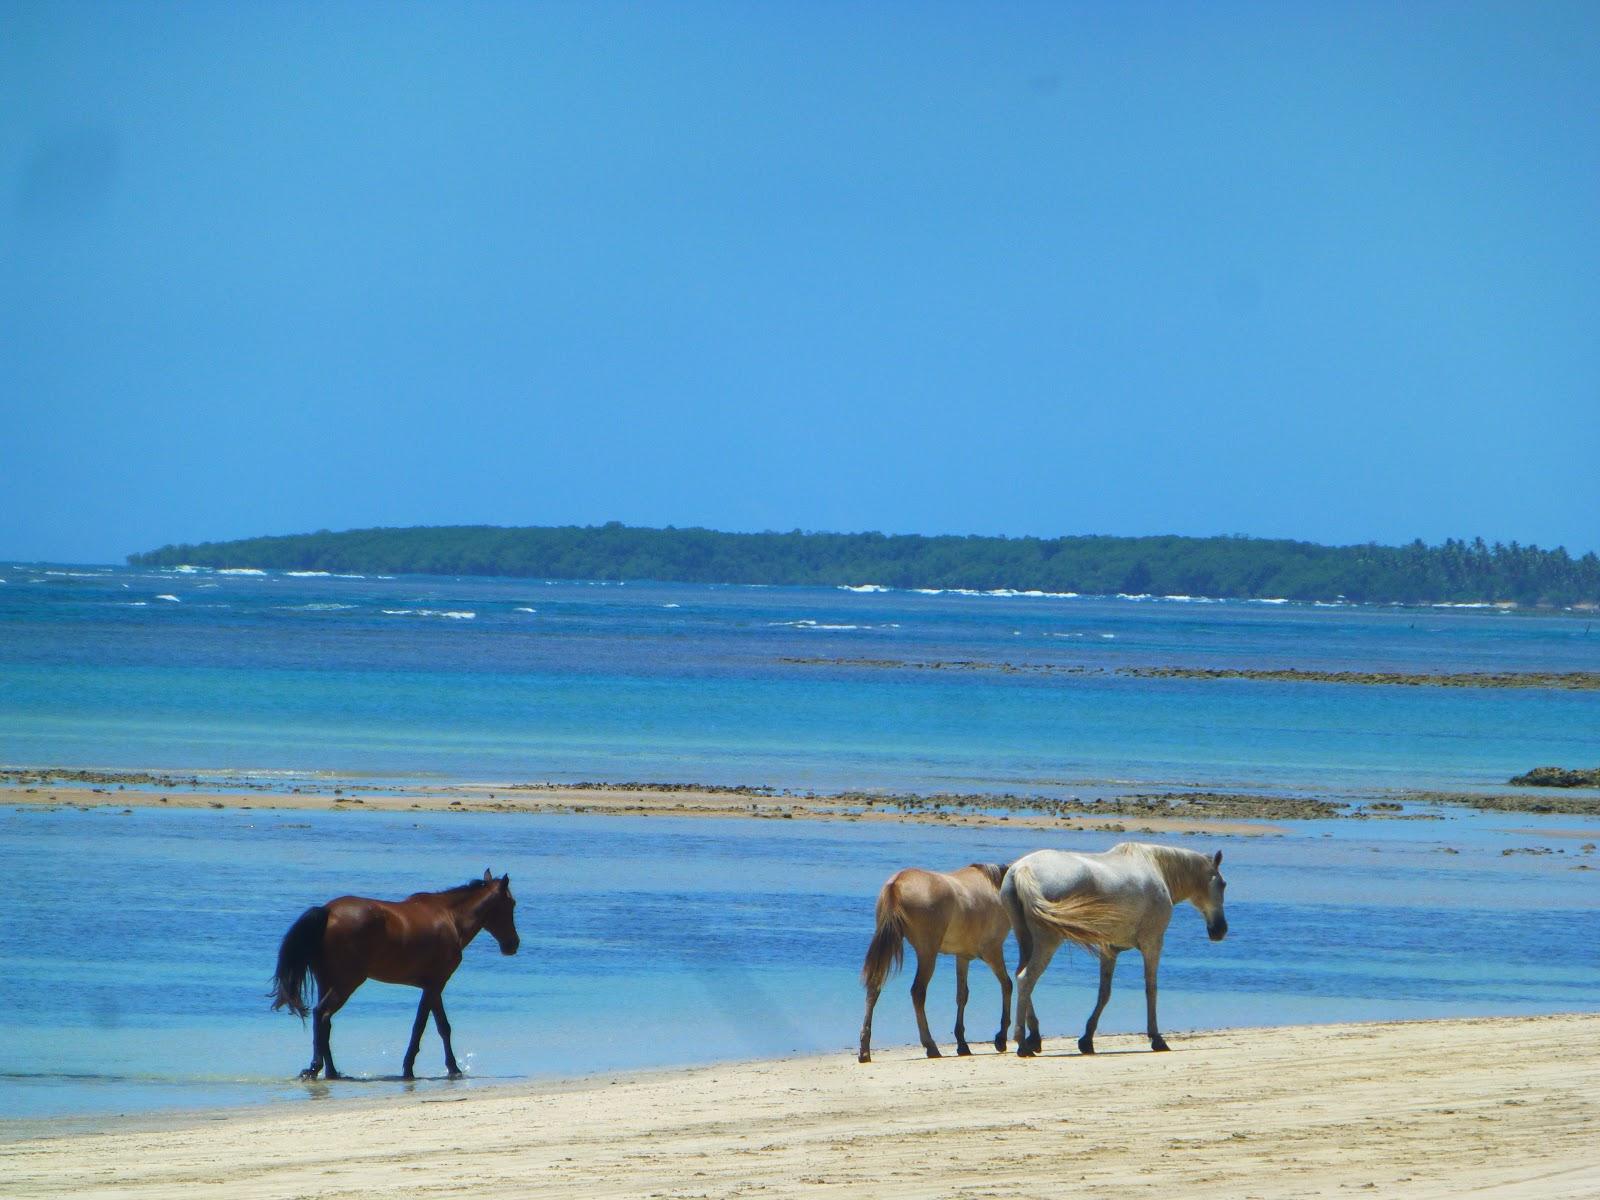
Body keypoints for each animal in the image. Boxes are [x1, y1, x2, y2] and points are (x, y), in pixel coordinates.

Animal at [268, 876, 518, 1081]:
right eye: (511, 904)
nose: (513, 944)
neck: (450, 918)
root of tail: (327, 911)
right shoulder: (436, 985)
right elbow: (422, 1026)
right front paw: (414, 1068)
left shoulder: (433, 986)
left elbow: (442, 1027)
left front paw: (451, 1068)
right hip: (346, 982)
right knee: (322, 1013)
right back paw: (315, 1068)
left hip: (326, 980)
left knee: (323, 1020)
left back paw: (331, 1071)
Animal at [864, 864, 1011, 1062]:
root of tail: (896, 884)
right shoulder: (992, 951)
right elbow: (1007, 985)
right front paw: (1001, 1038)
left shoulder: (962, 956)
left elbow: (962, 995)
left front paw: (962, 1043)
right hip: (928, 953)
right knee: (918, 992)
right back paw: (931, 1046)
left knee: (874, 987)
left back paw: (864, 1050)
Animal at [998, 838, 1222, 1056]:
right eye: (1223, 884)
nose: (1219, 930)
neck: (1153, 866)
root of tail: (1022, 868)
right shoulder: (1152, 944)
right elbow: (1151, 989)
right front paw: (1156, 1038)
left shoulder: (1110, 950)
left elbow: (1104, 993)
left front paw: (1087, 1040)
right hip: (1047, 942)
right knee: (1026, 978)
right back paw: (1023, 1044)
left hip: (1026, 940)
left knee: (1021, 976)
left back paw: (1032, 1038)